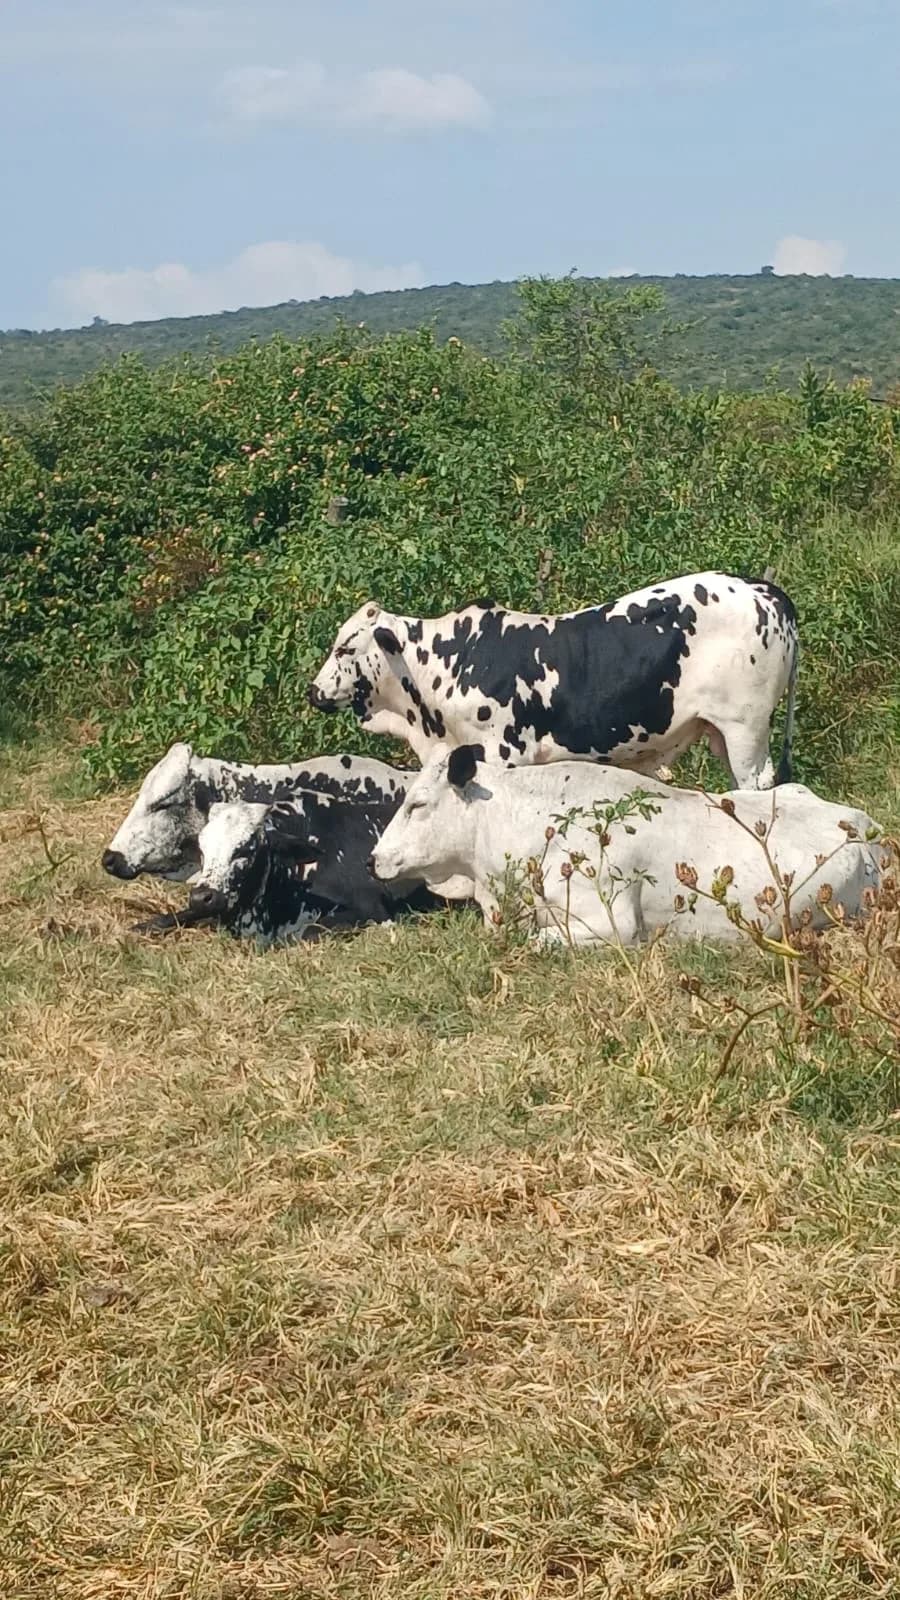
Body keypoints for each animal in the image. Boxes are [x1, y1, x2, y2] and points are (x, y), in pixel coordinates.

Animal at [308, 572, 799, 790]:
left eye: (345, 647)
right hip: (722, 732)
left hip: (745, 730)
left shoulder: (505, 753)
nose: (313, 692)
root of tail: (764, 590)